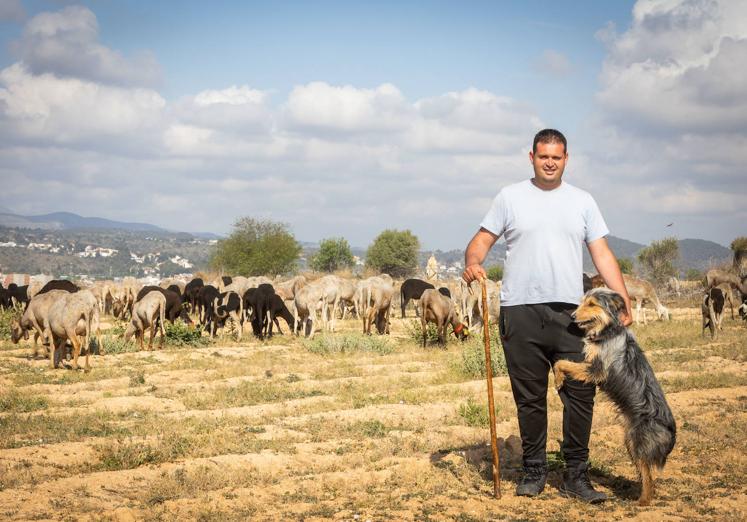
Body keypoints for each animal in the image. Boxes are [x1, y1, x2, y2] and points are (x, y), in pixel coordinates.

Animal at [552, 286, 676, 502]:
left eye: (592, 304)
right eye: (582, 302)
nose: (573, 316)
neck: (608, 331)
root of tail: (671, 430)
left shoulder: (596, 370)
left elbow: (563, 363)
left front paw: (558, 377)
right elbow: (564, 362)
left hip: (638, 442)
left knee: (647, 476)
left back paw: (642, 502)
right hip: (630, 441)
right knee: (646, 475)